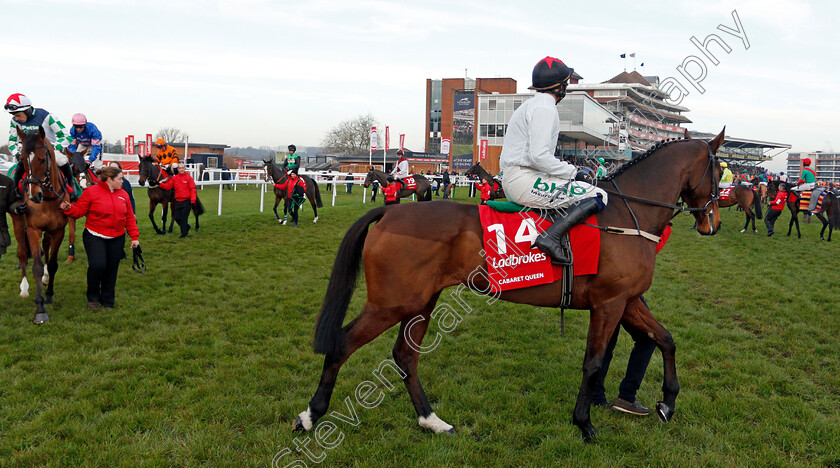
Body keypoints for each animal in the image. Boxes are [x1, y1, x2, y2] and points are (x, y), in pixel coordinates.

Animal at [10, 129, 70, 326]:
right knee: (22, 253)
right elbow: (35, 265)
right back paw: (24, 288)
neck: (48, 198)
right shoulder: (33, 229)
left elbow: (52, 264)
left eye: (43, 160)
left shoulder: (58, 230)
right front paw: (40, 309)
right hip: (18, 223)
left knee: (46, 247)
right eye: (22, 159)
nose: (32, 195)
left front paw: (49, 295)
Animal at [296, 129, 728, 442]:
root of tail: (389, 212)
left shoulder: (629, 299)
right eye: (718, 170)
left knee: (405, 356)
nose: (714, 223)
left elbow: (666, 339)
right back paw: (310, 414)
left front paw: (667, 403)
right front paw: (584, 422)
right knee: (343, 343)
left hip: (421, 301)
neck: (627, 216)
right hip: (392, 303)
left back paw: (432, 420)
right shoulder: (610, 303)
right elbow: (593, 362)